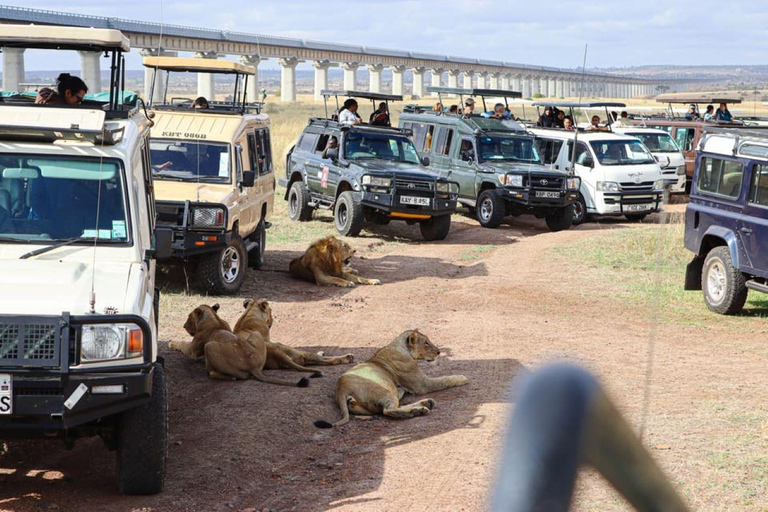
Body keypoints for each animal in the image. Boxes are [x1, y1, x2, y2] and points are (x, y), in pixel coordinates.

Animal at [314, 330, 468, 426]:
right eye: (426, 343)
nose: (439, 352)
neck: (400, 346)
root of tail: (341, 388)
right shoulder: (422, 385)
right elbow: (444, 380)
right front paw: (462, 378)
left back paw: (425, 404)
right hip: (384, 391)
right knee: (388, 410)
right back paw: (419, 410)